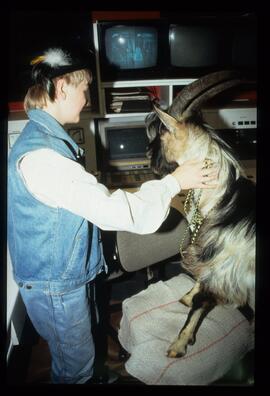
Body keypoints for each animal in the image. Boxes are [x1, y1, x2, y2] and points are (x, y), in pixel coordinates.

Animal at [146, 71, 255, 358]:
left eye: (162, 135)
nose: (150, 159)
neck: (223, 200)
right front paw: (186, 296)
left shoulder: (225, 269)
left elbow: (201, 302)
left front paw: (179, 345)